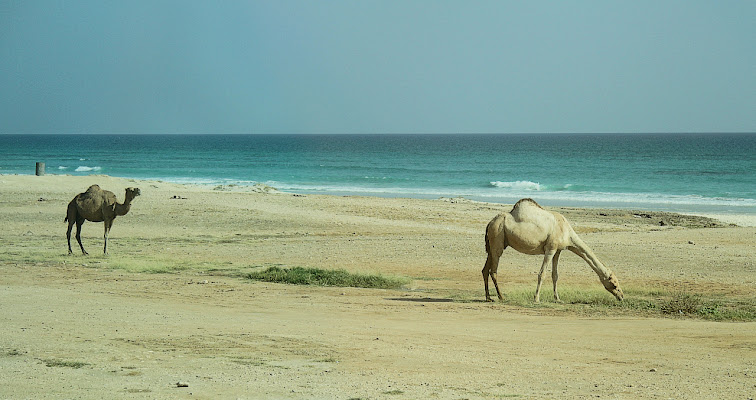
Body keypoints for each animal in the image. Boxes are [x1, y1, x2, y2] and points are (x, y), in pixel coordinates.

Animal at [482, 198, 624, 302]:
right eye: (614, 284)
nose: (622, 296)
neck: (567, 233)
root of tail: (490, 223)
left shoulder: (558, 250)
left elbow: (555, 275)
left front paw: (558, 299)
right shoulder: (550, 249)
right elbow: (542, 273)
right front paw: (536, 299)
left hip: (492, 244)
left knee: (485, 269)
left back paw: (489, 298)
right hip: (497, 238)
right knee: (493, 270)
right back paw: (501, 297)